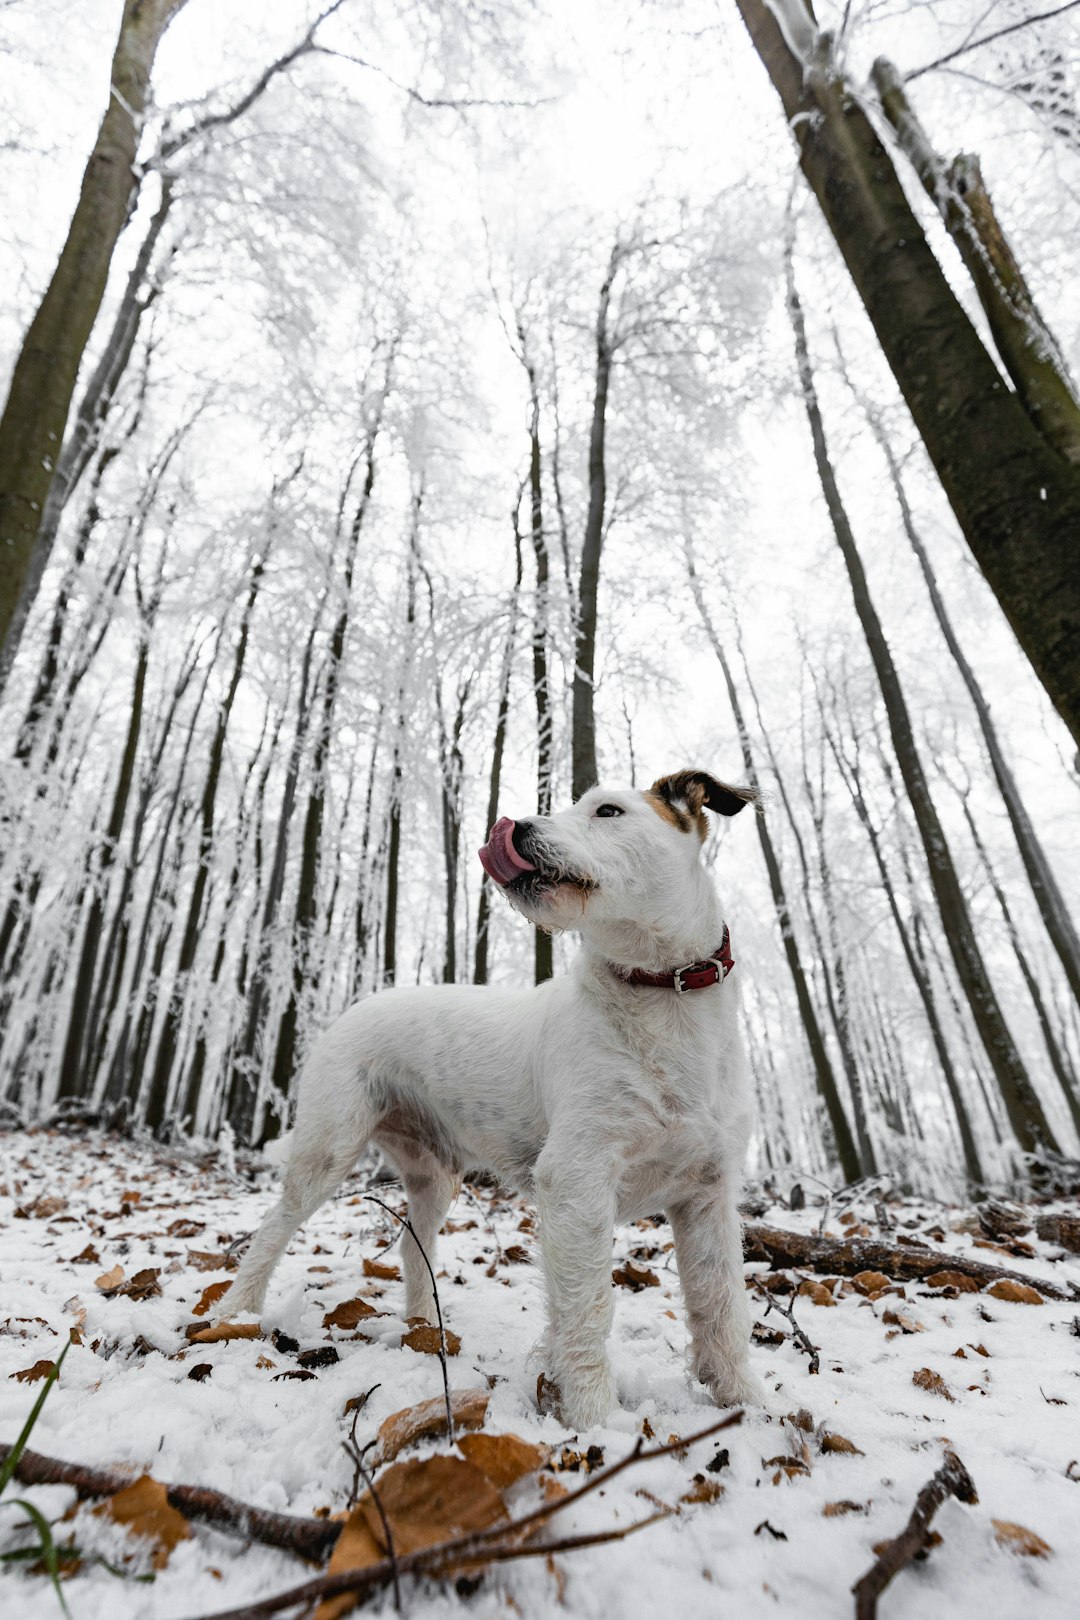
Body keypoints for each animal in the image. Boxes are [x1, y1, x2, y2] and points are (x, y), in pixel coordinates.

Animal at [221, 777, 761, 1425]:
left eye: (608, 811)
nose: (514, 826)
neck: (662, 992)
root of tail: (354, 1008)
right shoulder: (576, 1182)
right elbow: (587, 1308)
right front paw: (595, 1422)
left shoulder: (707, 1196)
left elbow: (721, 1305)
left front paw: (745, 1405)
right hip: (326, 1151)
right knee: (272, 1230)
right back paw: (234, 1313)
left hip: (434, 1179)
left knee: (412, 1249)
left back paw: (423, 1330)